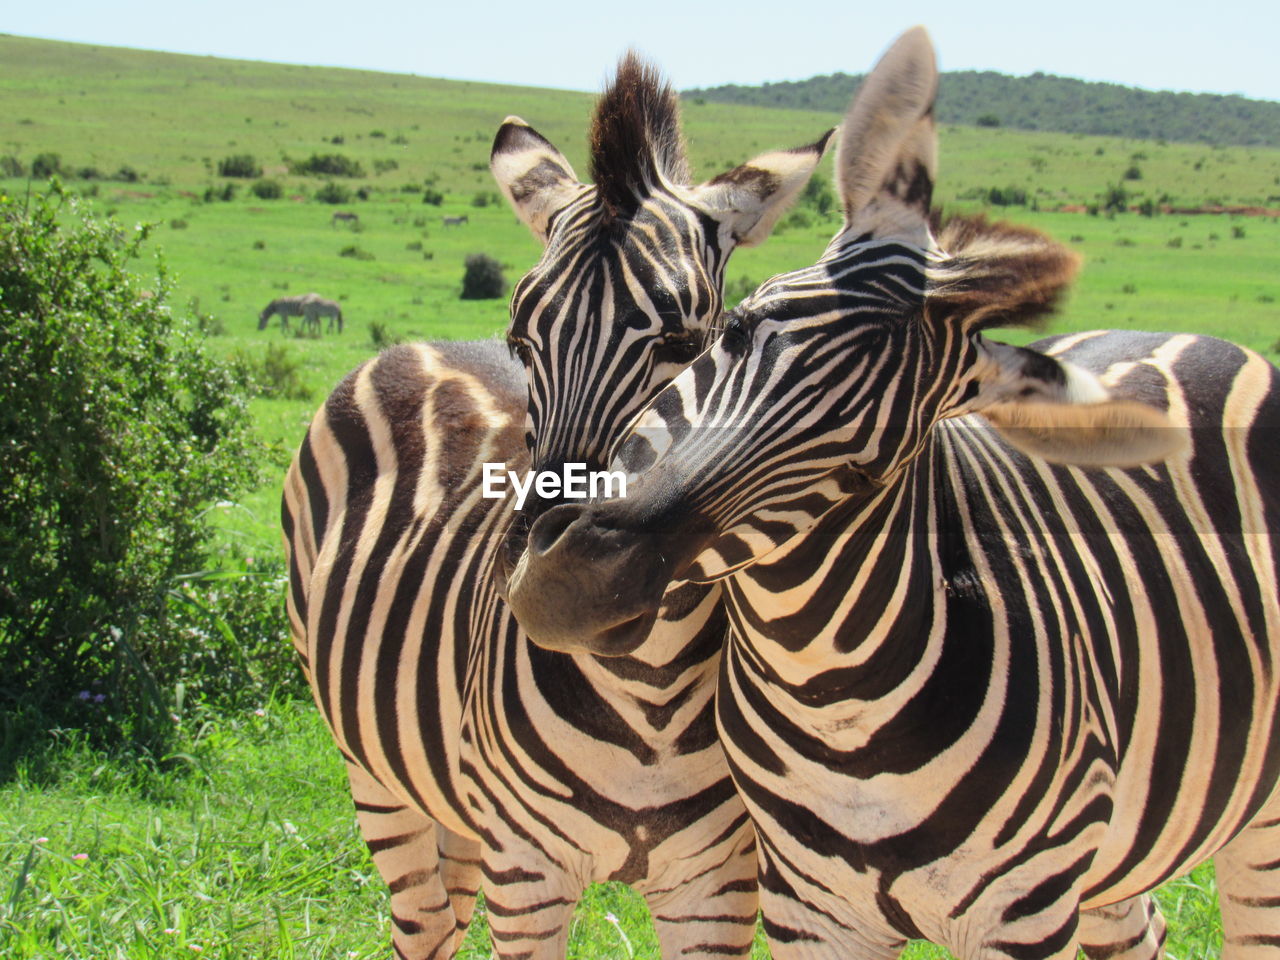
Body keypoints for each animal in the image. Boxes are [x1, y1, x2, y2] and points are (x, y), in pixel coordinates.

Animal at [281, 54, 829, 960]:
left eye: (683, 344)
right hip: (374, 770)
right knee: (421, 921)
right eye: (521, 338)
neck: (648, 696)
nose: (554, 592)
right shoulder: (528, 872)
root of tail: (415, 344)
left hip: (457, 802)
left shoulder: (720, 883)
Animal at [506, 26, 1280, 957]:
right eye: (734, 332)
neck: (839, 717)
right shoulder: (806, 908)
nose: (566, 579)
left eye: (868, 469)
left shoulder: (1023, 917)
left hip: (1256, 828)